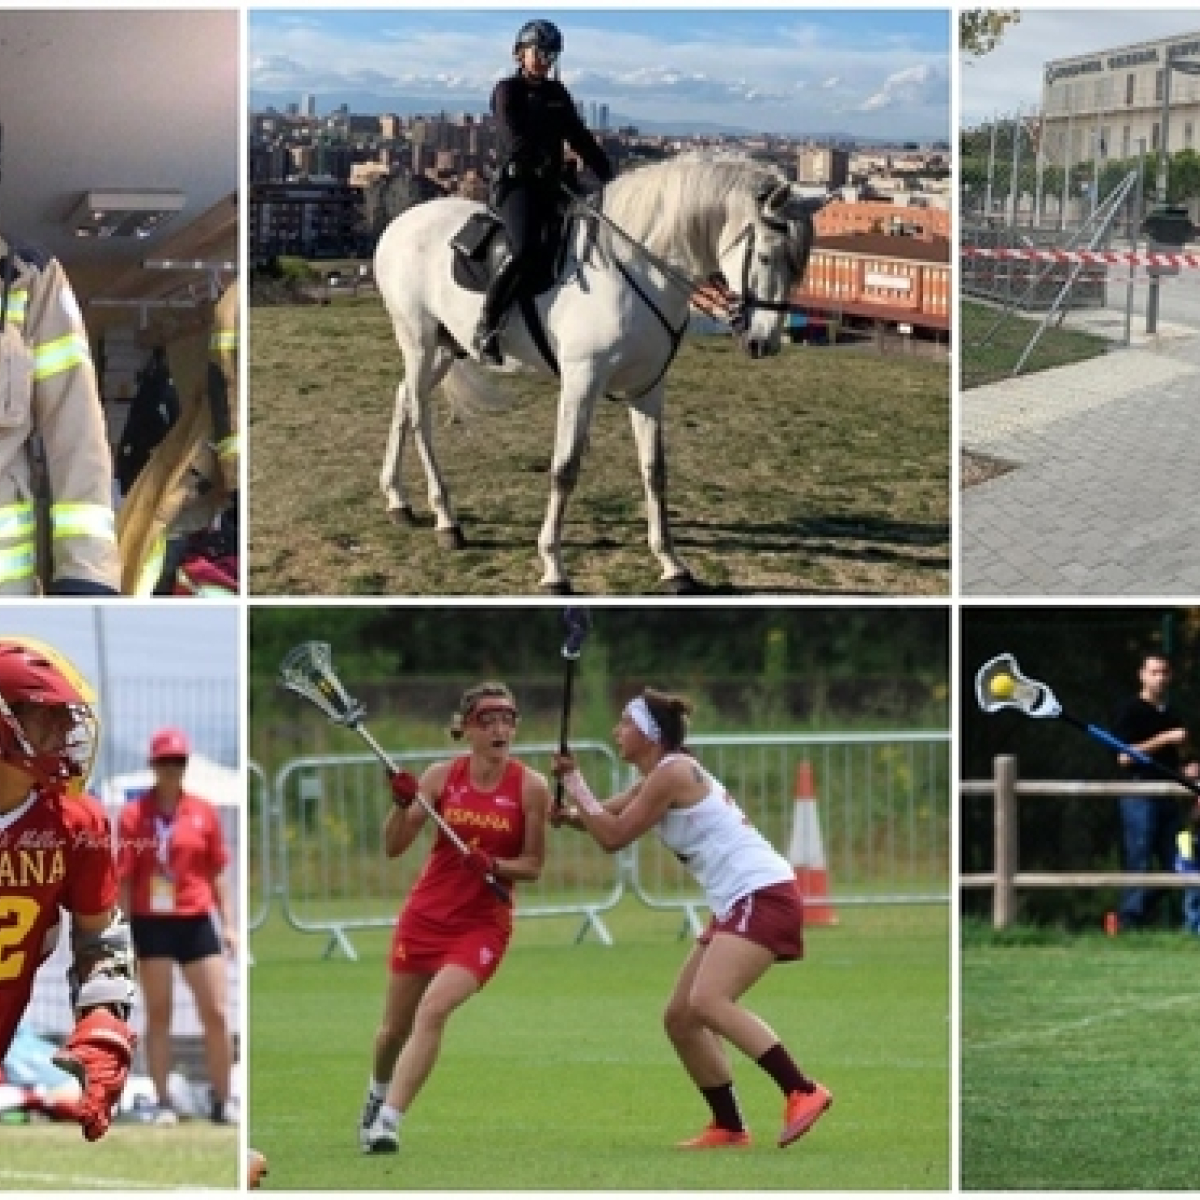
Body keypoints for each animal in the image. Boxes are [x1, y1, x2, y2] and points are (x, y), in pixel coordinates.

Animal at [374, 154, 825, 595]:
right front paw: (553, 567)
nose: (765, 342)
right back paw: (446, 520)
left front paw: (672, 564)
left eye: (799, 265)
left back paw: (398, 501)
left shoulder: (648, 388)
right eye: (766, 256)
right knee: (420, 417)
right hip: (417, 340)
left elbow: (654, 470)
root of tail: (402, 221)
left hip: (444, 348)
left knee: (402, 399)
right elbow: (565, 469)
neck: (638, 270)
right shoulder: (581, 383)